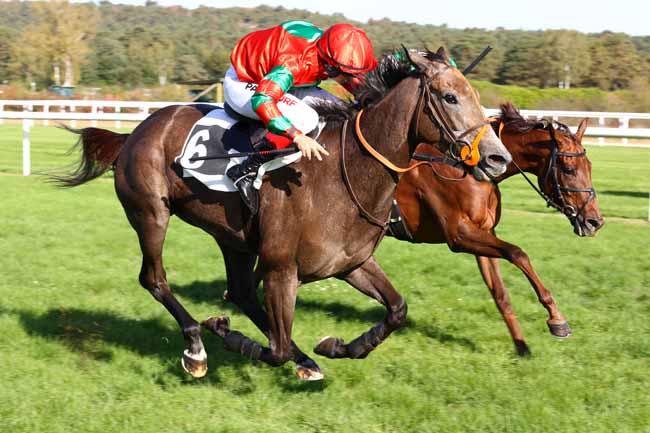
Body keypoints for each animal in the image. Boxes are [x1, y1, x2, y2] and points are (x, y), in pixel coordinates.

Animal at [53, 49, 512, 381]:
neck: (345, 172)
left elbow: (397, 310)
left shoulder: (350, 263)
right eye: (450, 97)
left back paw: (303, 358)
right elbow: (272, 350)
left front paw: (337, 346)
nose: (497, 158)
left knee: (241, 292)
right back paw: (197, 345)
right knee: (155, 279)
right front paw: (227, 334)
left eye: (476, 97)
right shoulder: (280, 270)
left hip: (233, 238)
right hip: (151, 214)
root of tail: (135, 131)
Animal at [374, 102, 603, 356]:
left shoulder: (484, 232)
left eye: (590, 166)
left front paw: (522, 346)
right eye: (569, 169)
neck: (468, 166)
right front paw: (557, 319)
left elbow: (501, 293)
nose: (595, 221)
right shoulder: (459, 234)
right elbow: (518, 253)